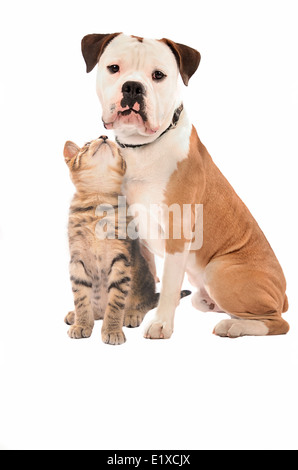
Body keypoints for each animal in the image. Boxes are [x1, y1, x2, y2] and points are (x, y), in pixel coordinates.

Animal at [63, 136, 162, 346]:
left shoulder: (120, 258)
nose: (104, 137)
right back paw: (76, 315)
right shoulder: (77, 258)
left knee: (145, 302)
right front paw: (81, 324)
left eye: (116, 147)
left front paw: (112, 330)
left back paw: (131, 314)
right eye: (86, 144)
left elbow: (116, 302)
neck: (97, 202)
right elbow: (80, 297)